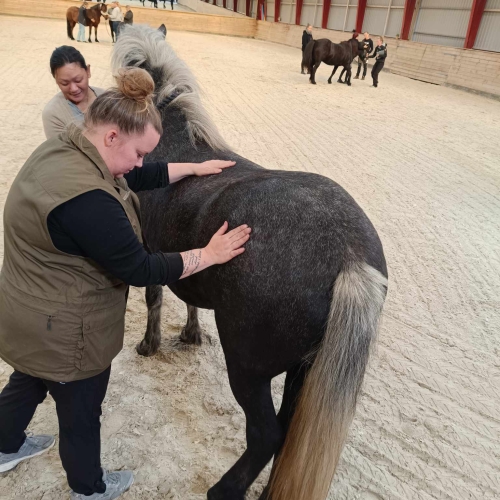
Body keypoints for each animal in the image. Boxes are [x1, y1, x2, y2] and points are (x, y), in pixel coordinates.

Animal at [114, 26, 390, 500]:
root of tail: (349, 256)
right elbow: (188, 293)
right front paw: (190, 335)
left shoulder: (148, 246)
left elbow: (154, 296)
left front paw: (150, 344)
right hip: (304, 372)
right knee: (290, 433)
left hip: (248, 369)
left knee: (266, 434)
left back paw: (223, 489)